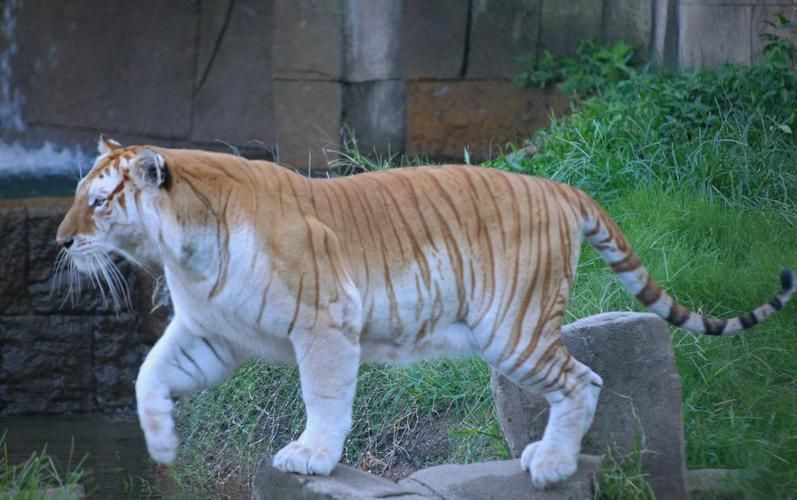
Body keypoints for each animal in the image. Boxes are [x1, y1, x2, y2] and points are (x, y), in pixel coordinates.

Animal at [56, 136, 796, 489]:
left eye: (97, 201)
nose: (59, 242)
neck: (182, 250)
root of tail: (559, 185)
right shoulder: (210, 333)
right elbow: (148, 375)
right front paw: (161, 445)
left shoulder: (323, 323)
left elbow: (324, 397)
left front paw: (311, 456)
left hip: (513, 329)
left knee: (582, 379)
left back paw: (553, 465)